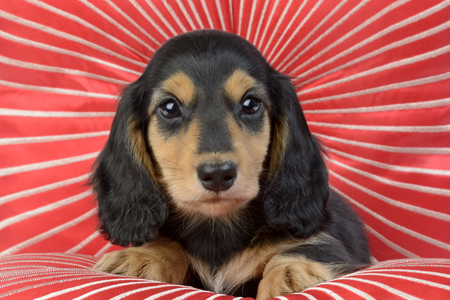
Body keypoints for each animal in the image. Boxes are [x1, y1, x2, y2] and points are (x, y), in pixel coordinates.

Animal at [90, 29, 370, 298]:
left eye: (251, 104)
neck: (217, 228)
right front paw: (142, 256)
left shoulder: (328, 242)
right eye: (169, 107)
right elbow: (167, 244)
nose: (217, 174)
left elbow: (305, 247)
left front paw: (290, 275)